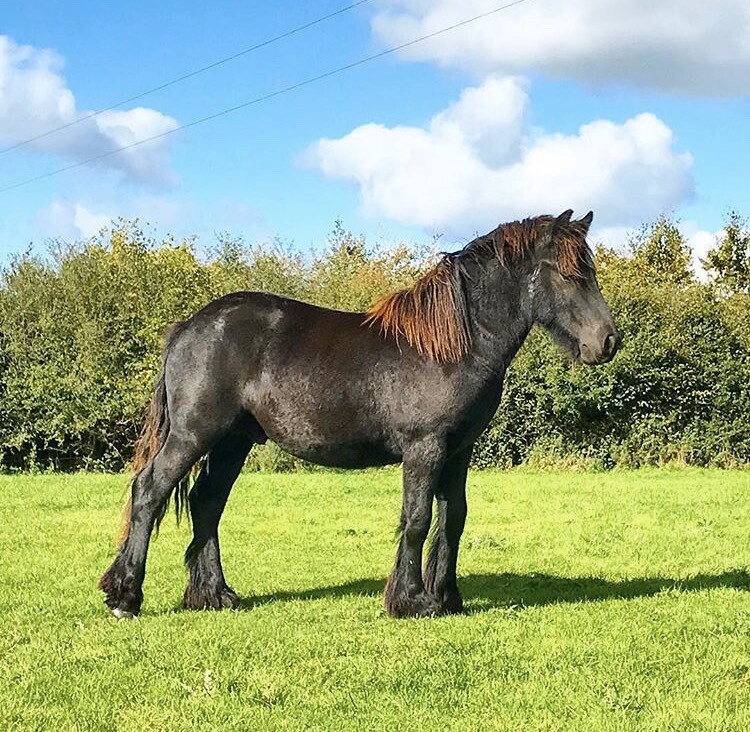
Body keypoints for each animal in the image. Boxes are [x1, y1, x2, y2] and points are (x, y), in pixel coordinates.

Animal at [100, 209, 620, 619]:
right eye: (570, 274)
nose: (609, 341)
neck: (454, 344)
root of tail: (188, 326)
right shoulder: (425, 449)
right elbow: (418, 518)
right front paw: (411, 601)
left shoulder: (458, 452)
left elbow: (453, 518)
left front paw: (447, 597)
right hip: (194, 434)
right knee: (149, 491)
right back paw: (125, 596)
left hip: (233, 442)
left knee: (207, 501)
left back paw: (213, 594)